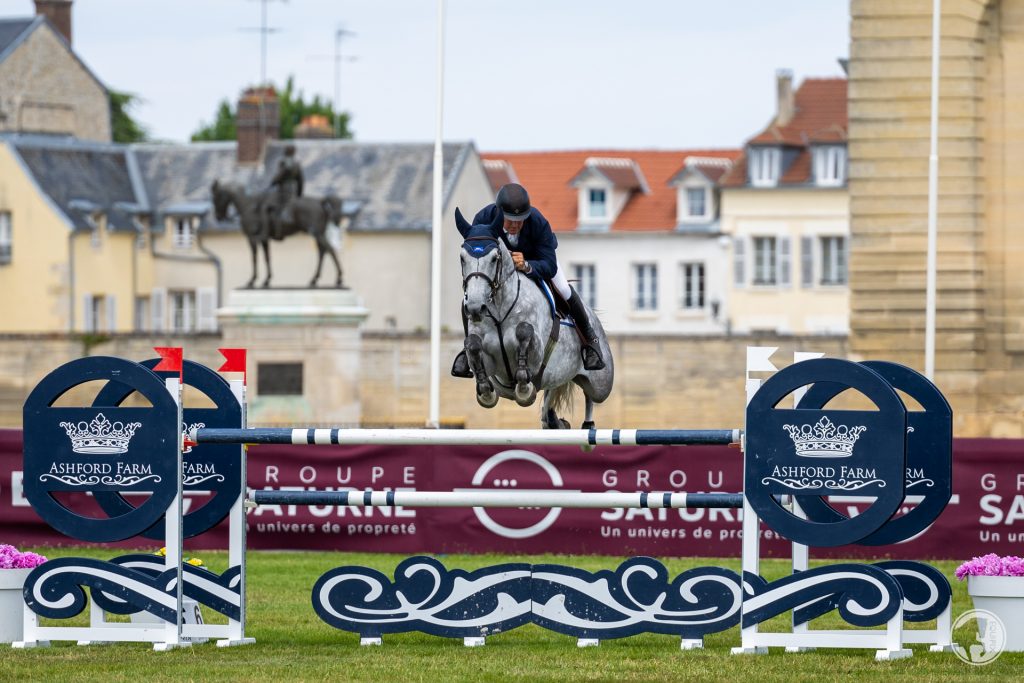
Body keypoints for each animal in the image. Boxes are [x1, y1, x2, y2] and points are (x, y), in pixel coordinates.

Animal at [210, 179, 348, 288]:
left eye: (216, 197)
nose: (218, 217)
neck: (248, 206)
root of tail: (320, 201)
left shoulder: (252, 238)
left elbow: (254, 258)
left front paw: (252, 280)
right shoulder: (264, 240)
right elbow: (267, 258)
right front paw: (266, 280)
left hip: (317, 233)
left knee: (329, 250)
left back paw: (338, 278)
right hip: (318, 234)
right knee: (322, 252)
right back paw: (314, 280)